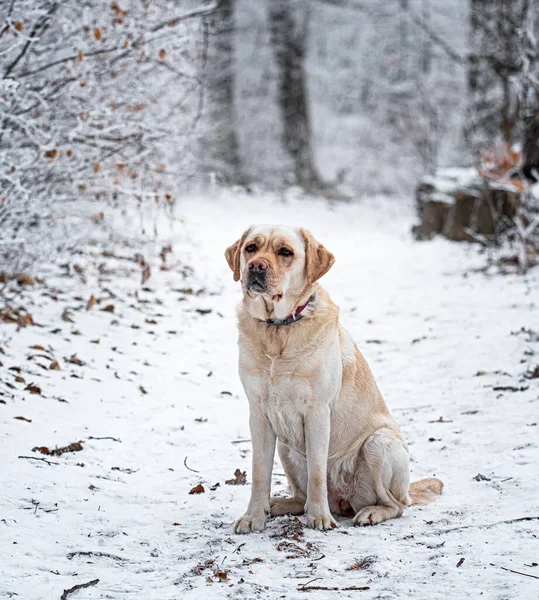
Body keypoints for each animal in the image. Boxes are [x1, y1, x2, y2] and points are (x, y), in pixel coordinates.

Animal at [224, 226, 442, 536]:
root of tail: (343, 500)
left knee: (397, 505)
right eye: (251, 248)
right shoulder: (260, 414)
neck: (279, 331)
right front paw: (254, 516)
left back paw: (371, 512)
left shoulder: (317, 412)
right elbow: (259, 473)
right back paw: (279, 504)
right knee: (301, 495)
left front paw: (319, 517)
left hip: (379, 444)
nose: (255, 266)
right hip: (286, 447)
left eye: (285, 252)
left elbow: (317, 472)